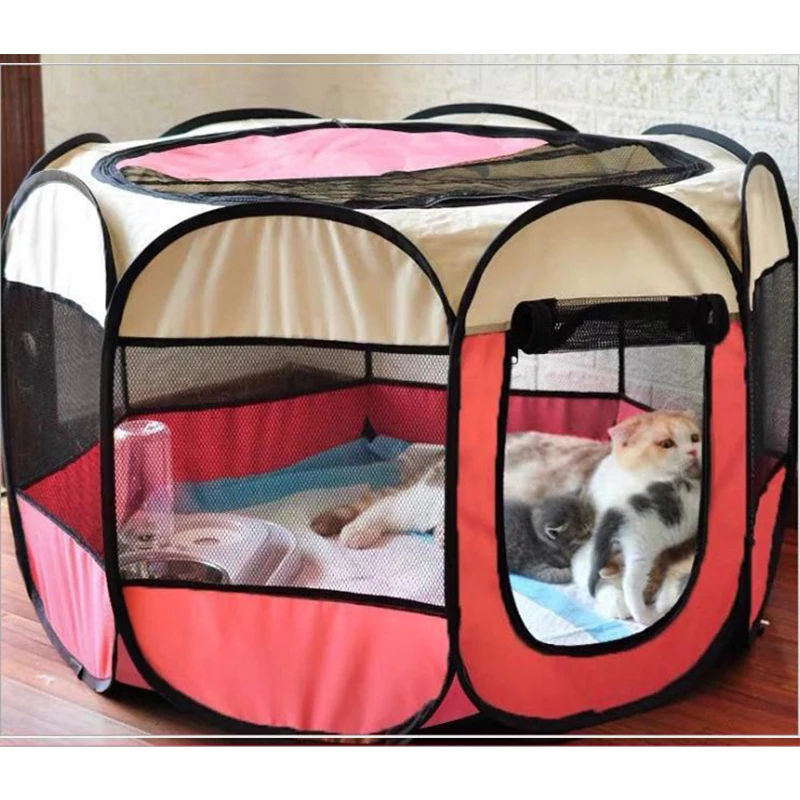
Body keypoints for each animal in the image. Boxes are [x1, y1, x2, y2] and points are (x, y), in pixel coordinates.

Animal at [582, 410, 702, 626]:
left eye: (695, 438)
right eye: (666, 444)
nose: (693, 451)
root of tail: (618, 511)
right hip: (641, 544)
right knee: (631, 582)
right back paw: (645, 616)